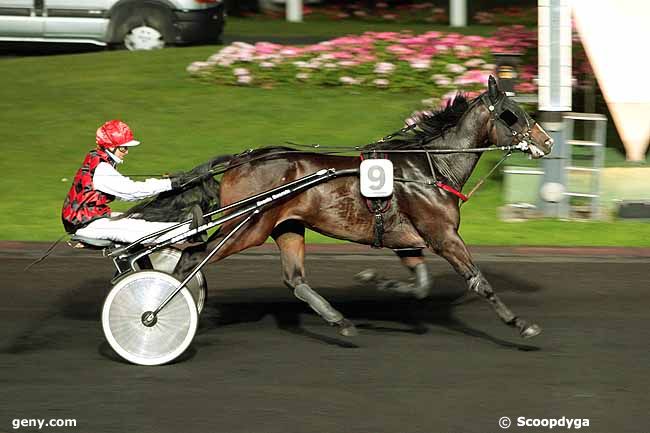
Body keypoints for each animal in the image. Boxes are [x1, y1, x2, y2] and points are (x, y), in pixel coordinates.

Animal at [133, 78, 552, 340]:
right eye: (512, 114)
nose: (546, 142)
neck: (431, 167)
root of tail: (240, 158)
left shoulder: (407, 241)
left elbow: (420, 286)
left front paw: (375, 280)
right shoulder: (443, 235)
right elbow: (479, 281)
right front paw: (520, 324)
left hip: (286, 226)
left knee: (295, 280)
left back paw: (340, 321)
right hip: (248, 227)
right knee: (191, 259)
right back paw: (160, 309)